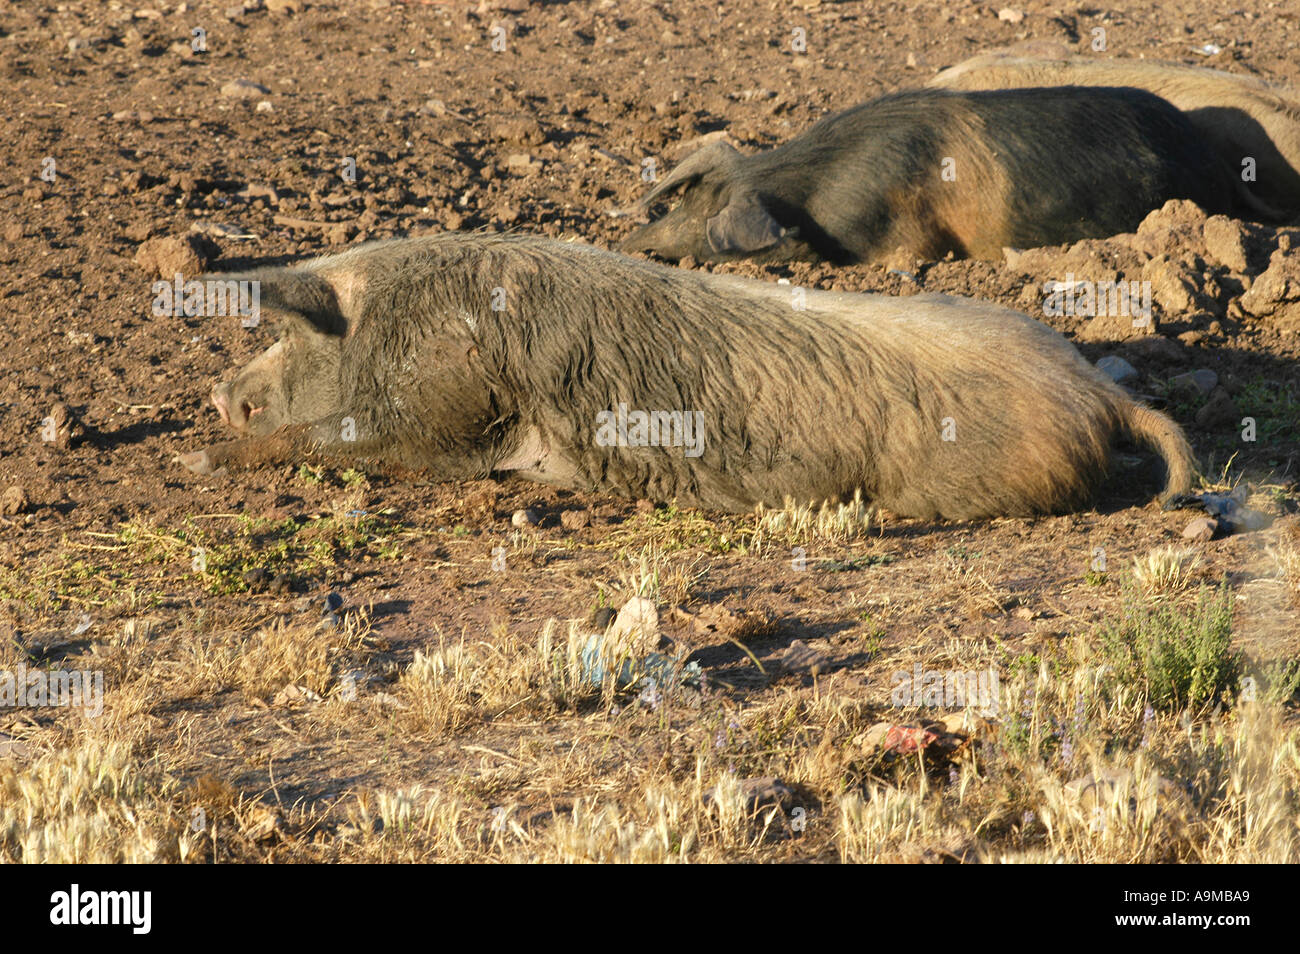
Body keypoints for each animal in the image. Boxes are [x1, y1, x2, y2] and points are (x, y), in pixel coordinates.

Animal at [181, 233, 1194, 522]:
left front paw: (195, 465)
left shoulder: (451, 408)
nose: (215, 395)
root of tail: (1099, 393)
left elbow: (343, 440)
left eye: (293, 338)